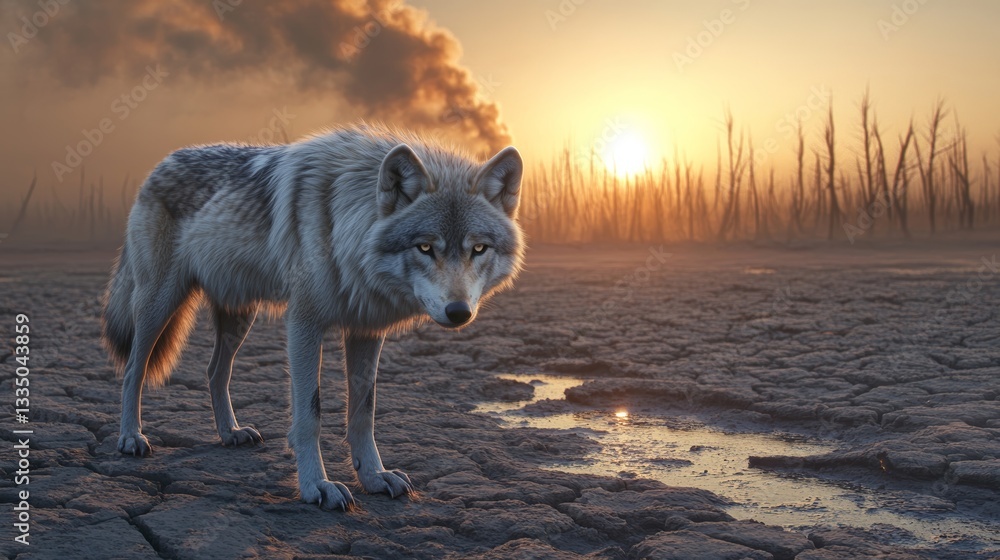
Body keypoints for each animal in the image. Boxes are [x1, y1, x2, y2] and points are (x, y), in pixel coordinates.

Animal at [100, 123, 524, 510]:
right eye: (425, 247)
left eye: (478, 249)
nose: (459, 312)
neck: (345, 225)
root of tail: (162, 162)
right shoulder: (304, 323)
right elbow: (310, 415)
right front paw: (317, 486)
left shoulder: (367, 329)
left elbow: (364, 413)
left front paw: (374, 476)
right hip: (159, 303)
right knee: (134, 369)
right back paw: (131, 438)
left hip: (239, 317)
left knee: (214, 371)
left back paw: (230, 432)